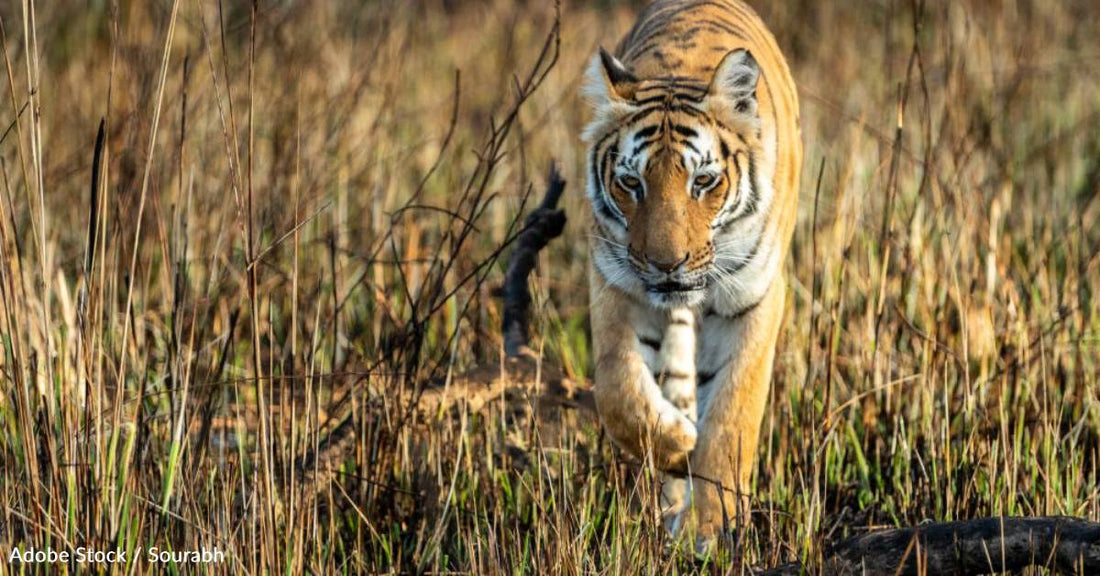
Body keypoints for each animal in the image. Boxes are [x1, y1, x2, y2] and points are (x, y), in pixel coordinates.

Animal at [582, 0, 801, 549]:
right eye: (630, 183)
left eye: (703, 181)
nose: (667, 263)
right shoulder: (616, 282)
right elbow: (619, 390)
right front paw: (679, 445)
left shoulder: (753, 299)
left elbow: (730, 416)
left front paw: (710, 529)